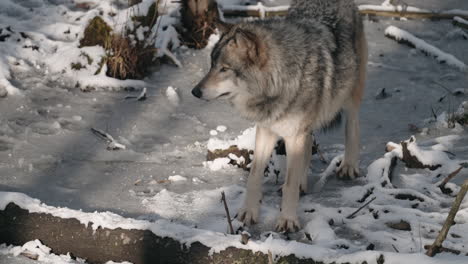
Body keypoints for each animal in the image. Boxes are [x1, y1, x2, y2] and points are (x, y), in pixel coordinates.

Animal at [192, 0, 368, 231]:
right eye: (212, 66)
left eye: (224, 69)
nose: (195, 92)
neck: (279, 82)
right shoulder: (266, 130)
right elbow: (254, 176)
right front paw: (248, 213)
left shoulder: (294, 134)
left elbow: (289, 184)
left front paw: (287, 220)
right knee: (307, 149)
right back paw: (303, 182)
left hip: (349, 96)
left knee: (353, 127)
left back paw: (348, 166)